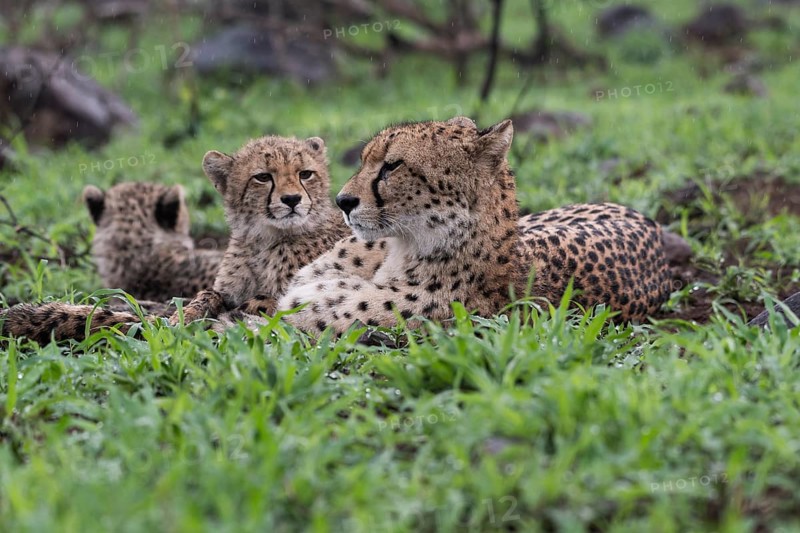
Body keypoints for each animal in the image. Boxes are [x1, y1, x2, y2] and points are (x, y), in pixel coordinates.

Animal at [1, 135, 350, 343]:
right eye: (263, 177)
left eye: (305, 174)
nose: (292, 200)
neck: (262, 238)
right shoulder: (224, 288)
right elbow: (207, 295)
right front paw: (186, 316)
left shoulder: (296, 296)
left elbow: (261, 302)